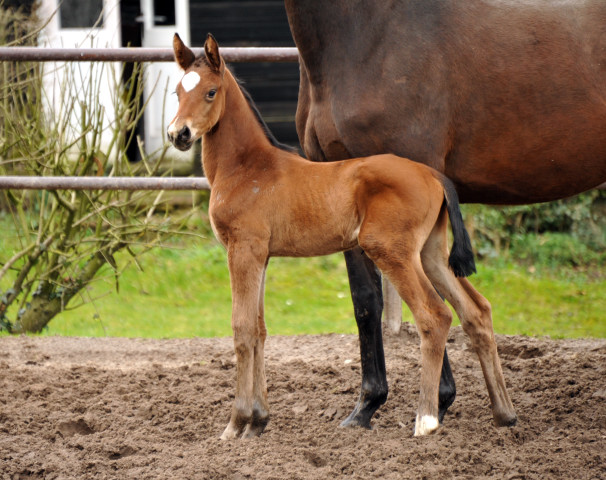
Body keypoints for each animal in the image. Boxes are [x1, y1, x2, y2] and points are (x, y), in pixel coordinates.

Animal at [167, 33, 516, 438]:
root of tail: (432, 174)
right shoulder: (261, 256)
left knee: (435, 316)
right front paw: (258, 422)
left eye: (210, 92)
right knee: (476, 310)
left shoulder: (242, 250)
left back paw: (426, 420)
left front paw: (236, 425)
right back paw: (504, 413)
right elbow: (259, 329)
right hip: (430, 253)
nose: (178, 134)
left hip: (391, 251)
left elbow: (242, 330)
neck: (250, 169)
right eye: (178, 91)